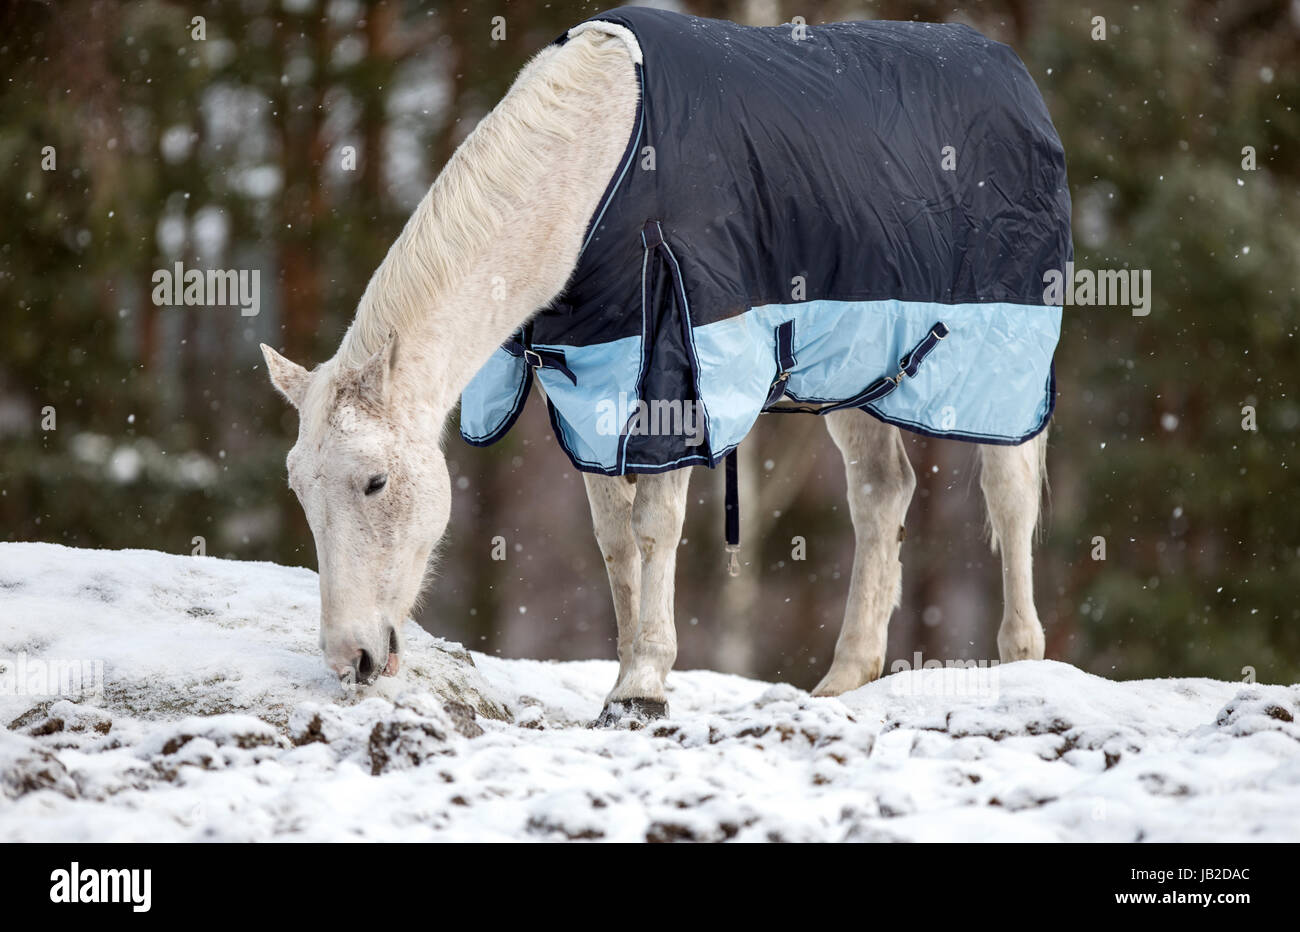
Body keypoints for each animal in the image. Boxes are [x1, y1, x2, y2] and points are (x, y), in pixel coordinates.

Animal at [261, 21, 1045, 717]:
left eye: (375, 482)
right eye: (298, 488)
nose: (351, 660)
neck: (600, 169)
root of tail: (1013, 73)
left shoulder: (674, 374)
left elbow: (653, 529)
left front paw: (644, 685)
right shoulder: (591, 388)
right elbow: (614, 542)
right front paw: (623, 682)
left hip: (1003, 363)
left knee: (1008, 496)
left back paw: (1021, 661)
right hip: (855, 369)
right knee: (882, 493)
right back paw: (844, 680)